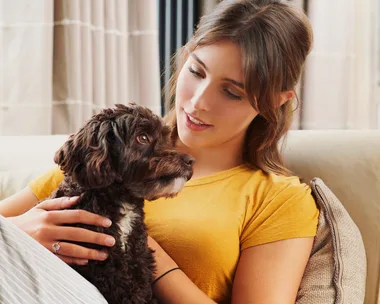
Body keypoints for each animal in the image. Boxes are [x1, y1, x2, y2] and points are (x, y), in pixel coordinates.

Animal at [49, 103, 193, 302]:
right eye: (143, 137)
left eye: (165, 137)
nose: (190, 161)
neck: (121, 199)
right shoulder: (107, 267)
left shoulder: (139, 257)